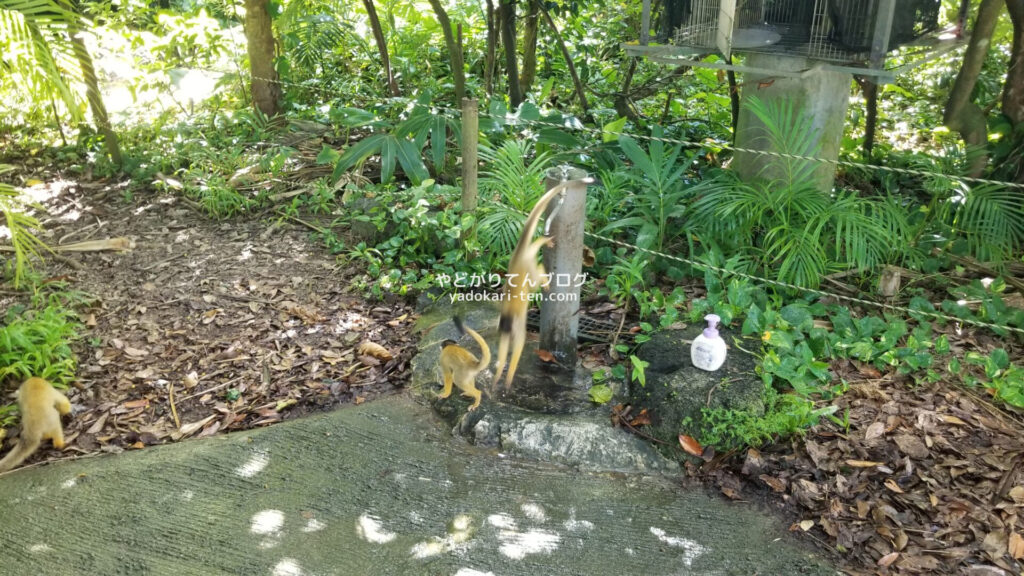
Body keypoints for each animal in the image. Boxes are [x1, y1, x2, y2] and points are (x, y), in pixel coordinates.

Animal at [487, 178, 577, 385]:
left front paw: (509, 377)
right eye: (504, 334)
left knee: (534, 277)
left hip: (526, 263)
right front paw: (498, 375)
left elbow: (520, 344)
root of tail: (518, 256)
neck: (508, 319)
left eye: (510, 331)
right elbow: (504, 349)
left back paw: (542, 265)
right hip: (522, 261)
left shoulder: (517, 323)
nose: (507, 335)